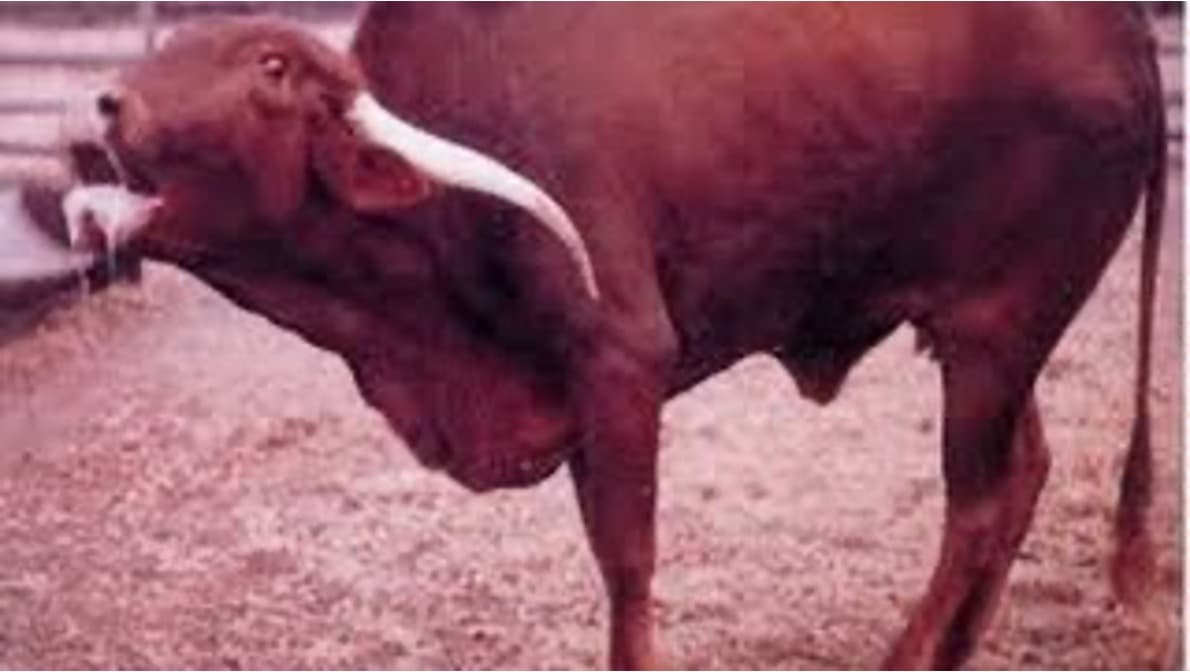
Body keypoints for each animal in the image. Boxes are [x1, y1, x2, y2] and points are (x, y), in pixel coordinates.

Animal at [61, 4, 1165, 669]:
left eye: (272, 66)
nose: (109, 104)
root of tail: (1126, 37)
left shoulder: (621, 363)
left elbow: (626, 563)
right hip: (993, 337)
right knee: (1021, 476)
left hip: (998, 329)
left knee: (974, 506)